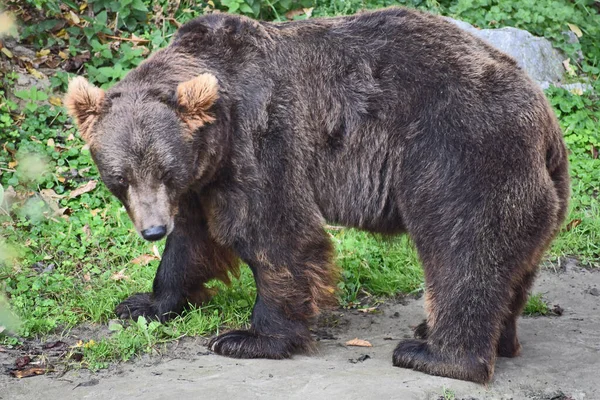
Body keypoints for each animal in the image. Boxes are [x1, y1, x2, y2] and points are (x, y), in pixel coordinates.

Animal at [63, 7, 568, 384]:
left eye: (164, 170)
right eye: (120, 177)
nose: (151, 229)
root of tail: (544, 115)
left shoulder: (261, 140)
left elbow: (275, 233)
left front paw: (250, 338)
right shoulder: (203, 178)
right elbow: (192, 240)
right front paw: (145, 302)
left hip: (462, 153)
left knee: (463, 248)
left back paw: (434, 353)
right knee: (512, 264)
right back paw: (480, 337)